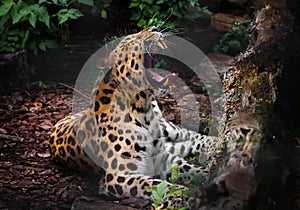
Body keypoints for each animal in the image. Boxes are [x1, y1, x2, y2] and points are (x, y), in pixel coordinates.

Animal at [49, 26, 220, 208]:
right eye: (130, 40)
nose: (154, 28)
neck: (143, 110)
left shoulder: (161, 156)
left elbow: (186, 167)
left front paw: (207, 174)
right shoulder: (118, 175)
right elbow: (154, 184)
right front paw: (182, 196)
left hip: (167, 130)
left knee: (188, 136)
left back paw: (217, 142)